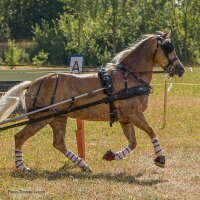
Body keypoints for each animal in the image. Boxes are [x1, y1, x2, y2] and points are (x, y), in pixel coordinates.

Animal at [0, 32, 184, 173]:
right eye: (169, 47)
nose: (180, 69)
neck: (131, 76)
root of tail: (32, 83)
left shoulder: (125, 118)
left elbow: (133, 143)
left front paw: (111, 155)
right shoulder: (135, 114)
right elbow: (151, 131)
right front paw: (161, 158)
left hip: (58, 118)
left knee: (59, 143)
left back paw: (84, 165)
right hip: (41, 117)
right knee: (19, 137)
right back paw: (22, 167)